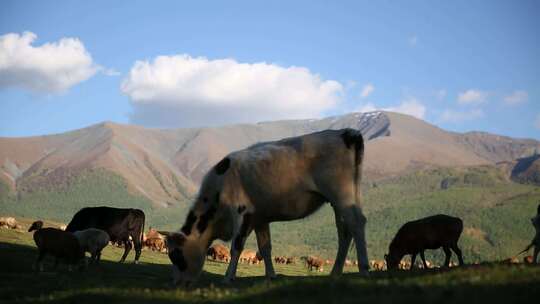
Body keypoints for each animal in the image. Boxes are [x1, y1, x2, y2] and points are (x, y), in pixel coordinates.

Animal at [159, 129, 368, 286]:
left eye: (176, 255)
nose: (176, 283)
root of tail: (346, 133)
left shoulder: (241, 211)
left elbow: (236, 246)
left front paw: (228, 277)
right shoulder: (260, 218)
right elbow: (265, 247)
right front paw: (271, 275)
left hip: (341, 193)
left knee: (357, 223)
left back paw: (364, 269)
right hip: (342, 199)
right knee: (344, 231)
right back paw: (335, 273)